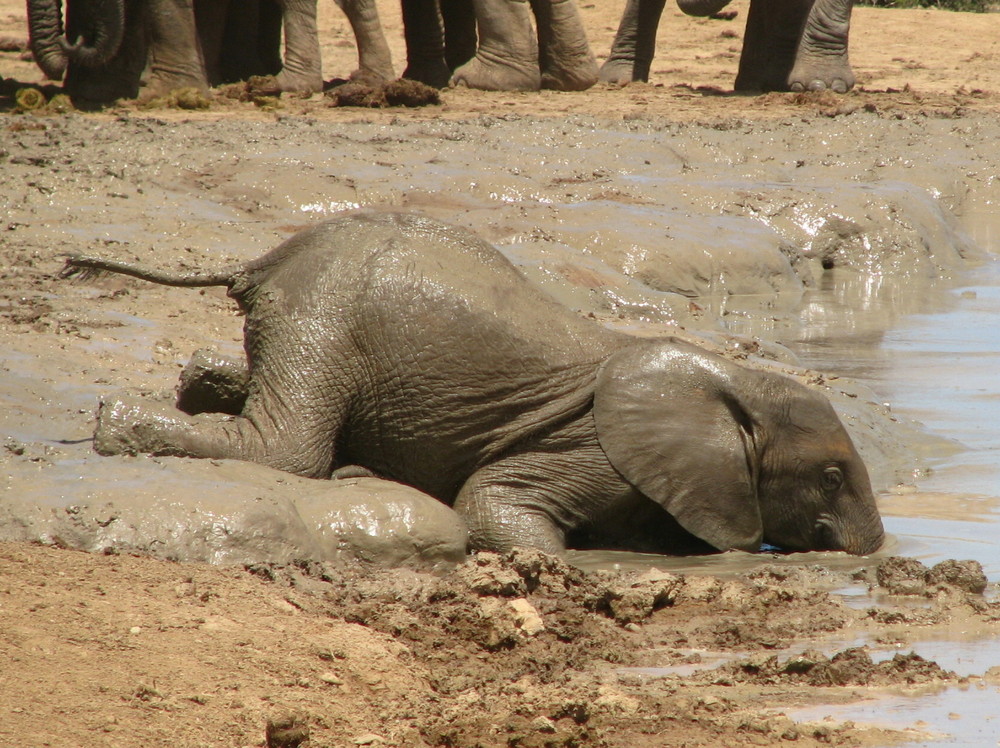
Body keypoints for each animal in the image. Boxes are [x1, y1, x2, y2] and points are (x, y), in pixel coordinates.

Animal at [60, 210, 884, 556]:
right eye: (831, 477)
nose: (870, 554)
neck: (735, 380)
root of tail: (270, 257)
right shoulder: (592, 450)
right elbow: (490, 501)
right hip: (328, 306)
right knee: (286, 449)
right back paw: (114, 421)